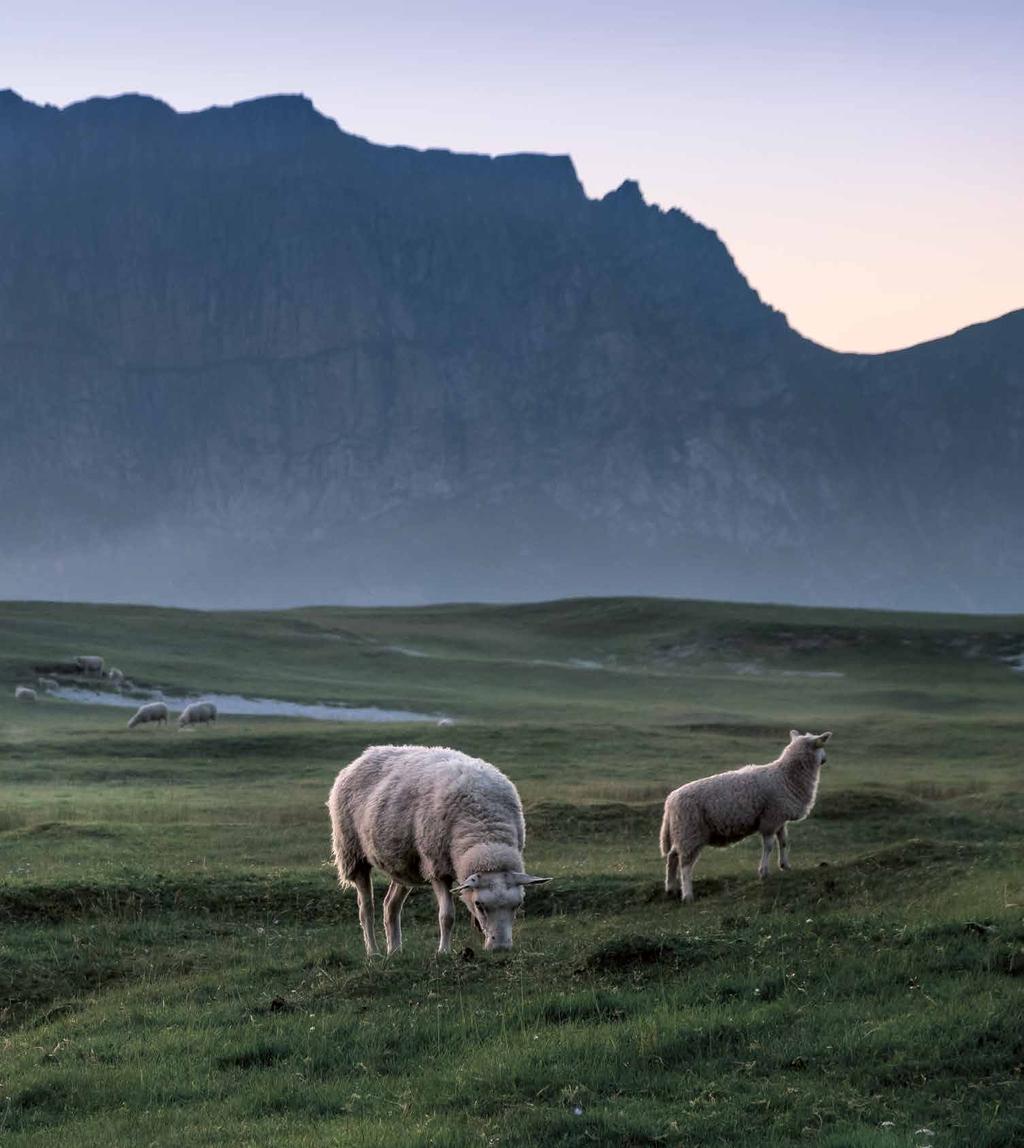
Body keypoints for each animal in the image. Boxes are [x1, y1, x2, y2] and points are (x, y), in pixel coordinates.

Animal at [328, 739, 551, 955]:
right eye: (479, 905)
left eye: (518, 904)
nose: (501, 948)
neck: (486, 835)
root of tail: (367, 754)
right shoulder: (436, 868)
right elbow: (447, 916)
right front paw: (443, 952)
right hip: (353, 853)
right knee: (365, 908)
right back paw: (373, 953)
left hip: (403, 863)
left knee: (390, 905)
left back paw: (395, 951)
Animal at [665, 730, 831, 900]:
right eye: (821, 745)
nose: (825, 759)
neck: (786, 776)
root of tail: (671, 801)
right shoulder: (770, 819)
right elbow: (769, 846)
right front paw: (764, 872)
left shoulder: (779, 818)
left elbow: (784, 842)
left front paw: (785, 865)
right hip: (690, 831)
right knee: (685, 866)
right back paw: (687, 894)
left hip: (682, 832)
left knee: (672, 856)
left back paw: (671, 887)